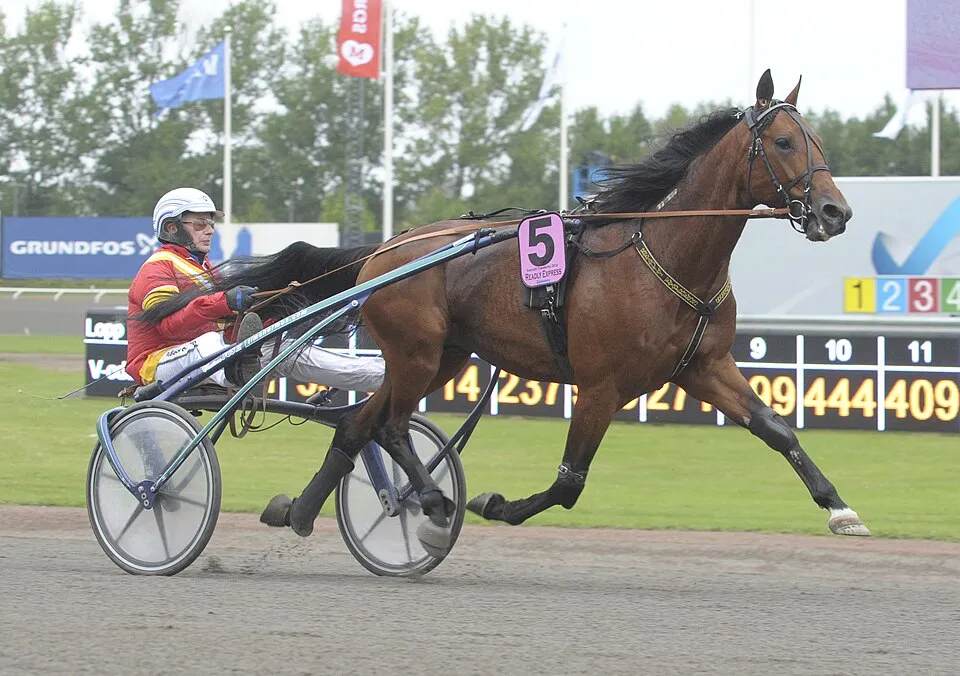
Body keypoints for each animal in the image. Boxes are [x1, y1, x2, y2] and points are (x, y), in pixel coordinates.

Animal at [141, 70, 869, 556]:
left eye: (816, 138)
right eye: (782, 141)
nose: (835, 211)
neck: (664, 255)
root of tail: (386, 247)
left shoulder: (703, 366)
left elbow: (778, 430)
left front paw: (839, 507)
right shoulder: (602, 385)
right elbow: (570, 482)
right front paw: (493, 503)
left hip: (441, 357)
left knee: (358, 423)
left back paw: (300, 510)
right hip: (417, 351)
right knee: (392, 426)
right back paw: (431, 501)